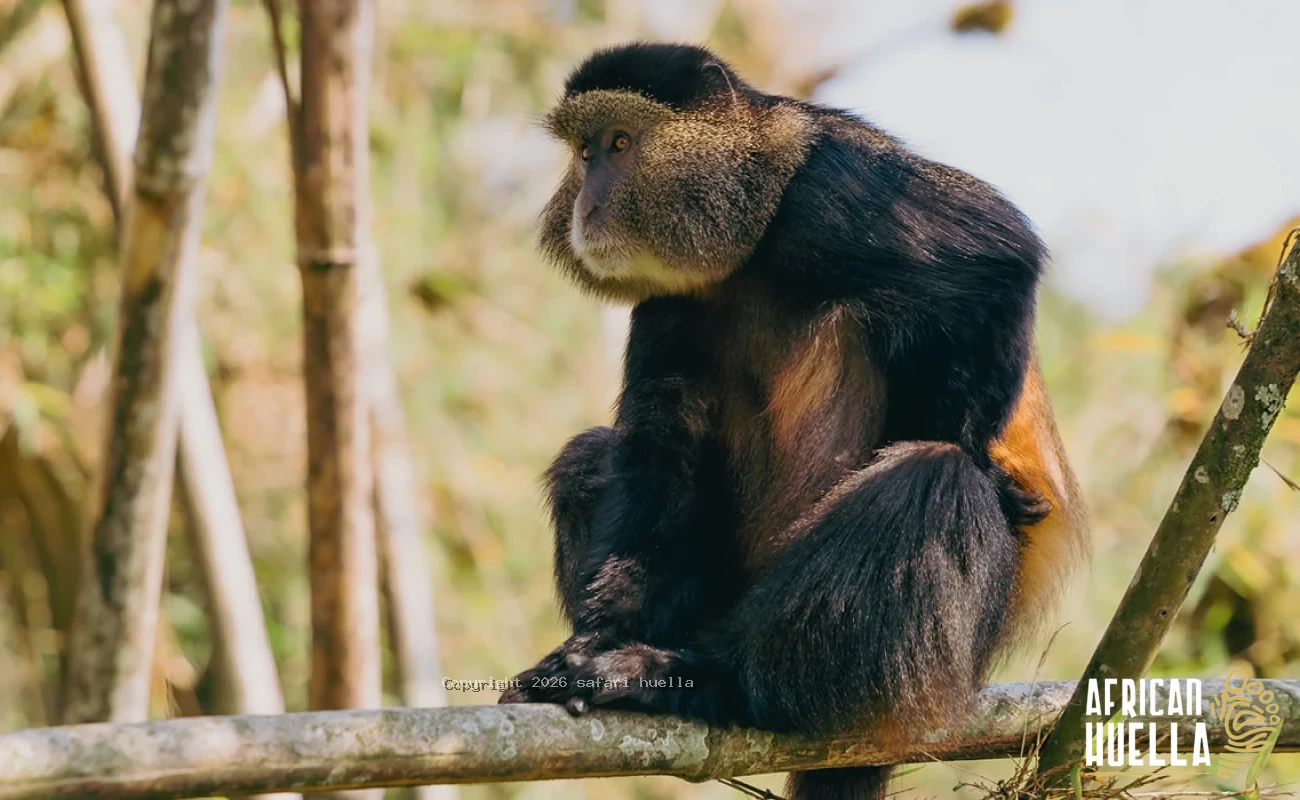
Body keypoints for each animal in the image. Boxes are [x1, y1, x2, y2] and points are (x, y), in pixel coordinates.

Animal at [498, 42, 1087, 800]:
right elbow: (662, 452)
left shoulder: (835, 189)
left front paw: (1001, 477)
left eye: (620, 143)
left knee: (932, 478)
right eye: (582, 151)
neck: (751, 219)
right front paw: (593, 640)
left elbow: (998, 258)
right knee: (588, 457)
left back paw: (714, 680)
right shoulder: (668, 302)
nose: (587, 202)